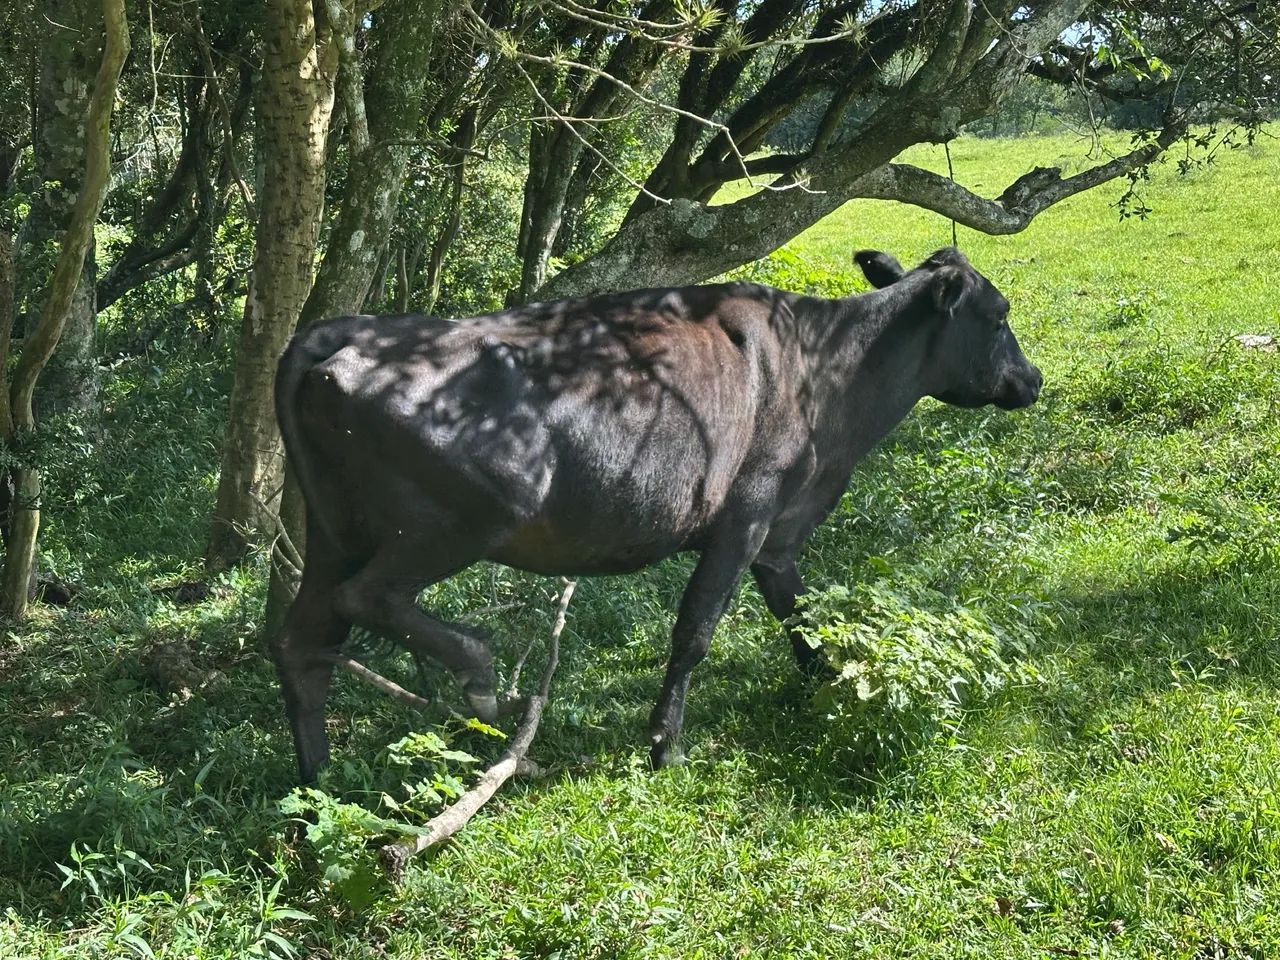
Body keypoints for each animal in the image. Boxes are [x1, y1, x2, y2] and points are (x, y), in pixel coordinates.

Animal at [272, 246, 1042, 782]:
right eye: (1000, 314)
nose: (1032, 378)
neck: (828, 374)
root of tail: (347, 332)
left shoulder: (778, 534)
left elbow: (801, 614)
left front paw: (828, 685)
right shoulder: (745, 517)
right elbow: (696, 629)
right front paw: (664, 745)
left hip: (331, 530)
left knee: (305, 639)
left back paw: (318, 777)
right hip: (462, 519)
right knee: (363, 600)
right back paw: (480, 675)